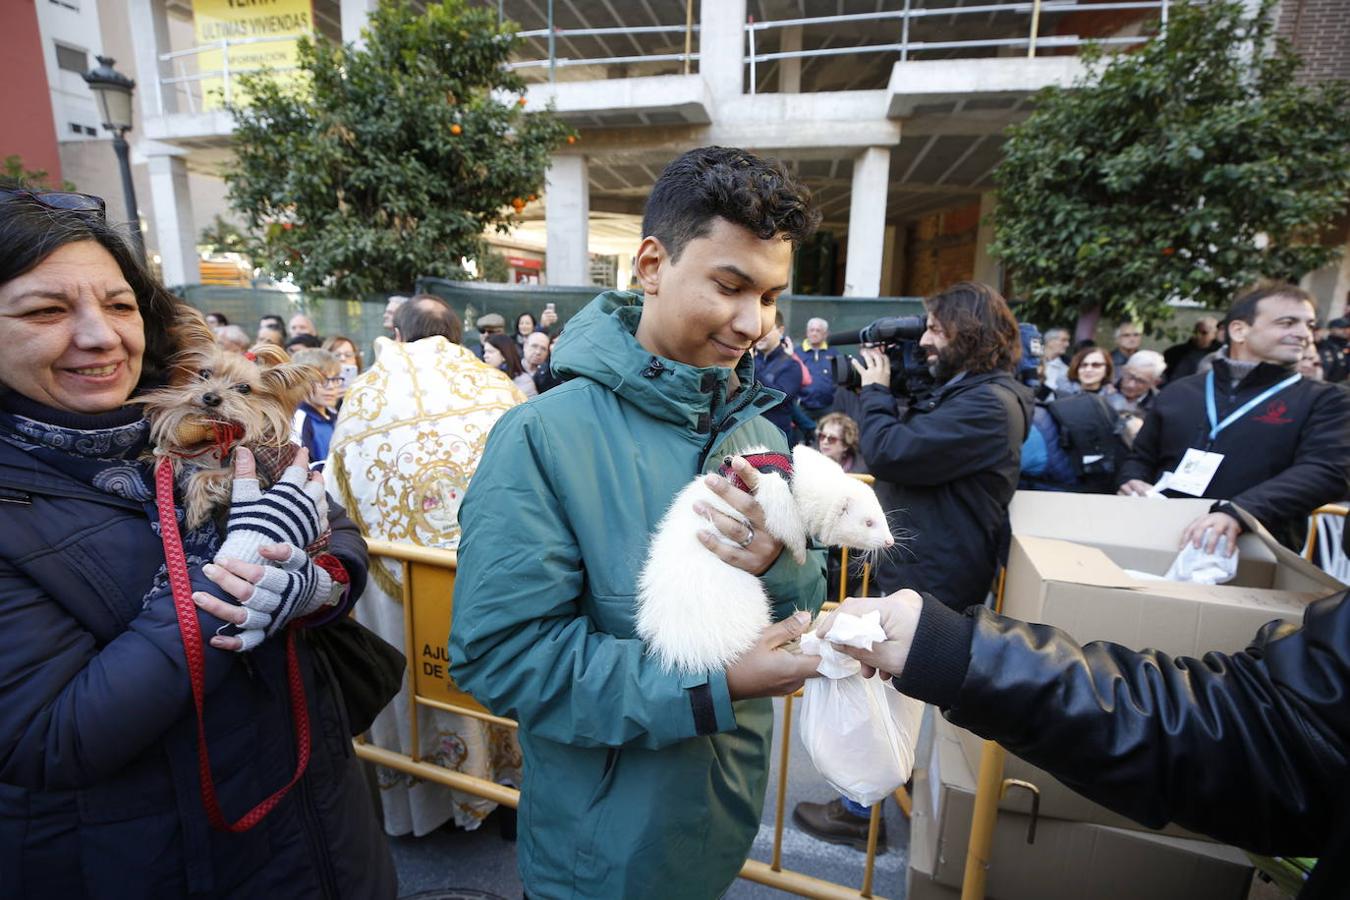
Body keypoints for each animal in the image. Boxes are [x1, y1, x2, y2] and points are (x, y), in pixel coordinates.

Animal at [139, 310, 318, 531]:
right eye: (204, 373)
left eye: (244, 389)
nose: (211, 398)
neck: (220, 429)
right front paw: (156, 454)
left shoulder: (255, 473)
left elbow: (204, 476)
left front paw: (197, 510)